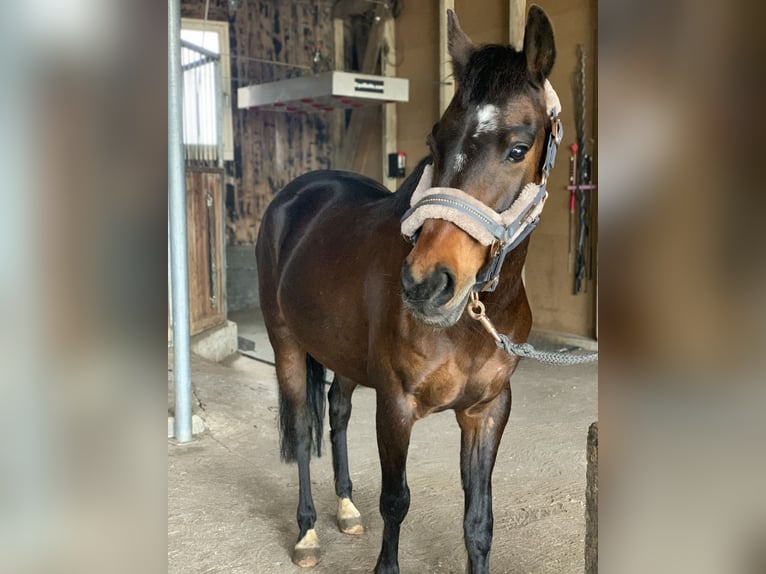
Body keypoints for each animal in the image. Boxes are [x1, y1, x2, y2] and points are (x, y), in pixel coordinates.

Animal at [255, 6, 559, 573]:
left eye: (517, 148)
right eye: (435, 141)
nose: (425, 283)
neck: (471, 323)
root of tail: (294, 195)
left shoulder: (487, 412)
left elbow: (478, 523)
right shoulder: (395, 405)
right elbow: (396, 500)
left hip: (343, 354)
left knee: (337, 412)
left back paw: (346, 508)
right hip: (286, 344)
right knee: (304, 428)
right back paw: (308, 532)